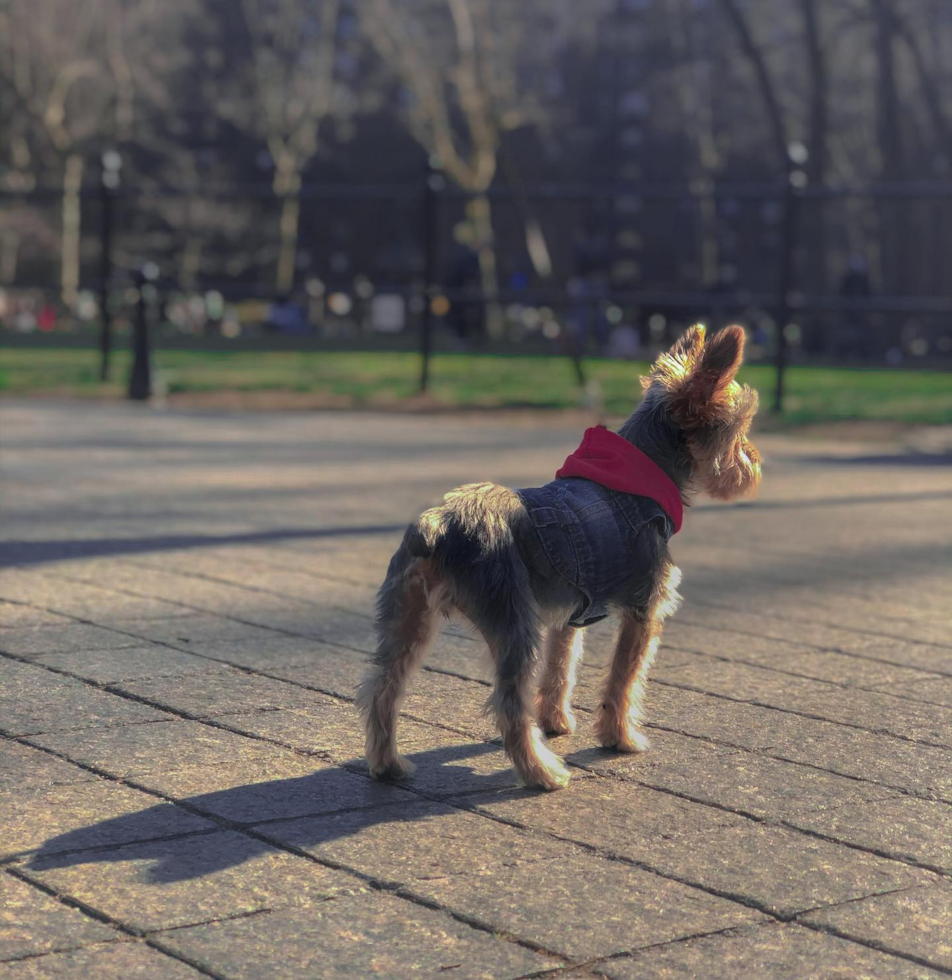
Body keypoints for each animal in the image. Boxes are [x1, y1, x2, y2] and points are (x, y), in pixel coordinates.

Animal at [356, 326, 760, 792]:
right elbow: (624, 680)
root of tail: (440, 525)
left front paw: (555, 722)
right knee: (508, 705)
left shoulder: (571, 613)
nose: (755, 464)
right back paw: (541, 773)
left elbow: (561, 667)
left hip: (408, 616)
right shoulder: (643, 610)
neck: (642, 473)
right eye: (738, 431)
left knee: (383, 685)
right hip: (513, 621)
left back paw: (388, 765)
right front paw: (619, 738)